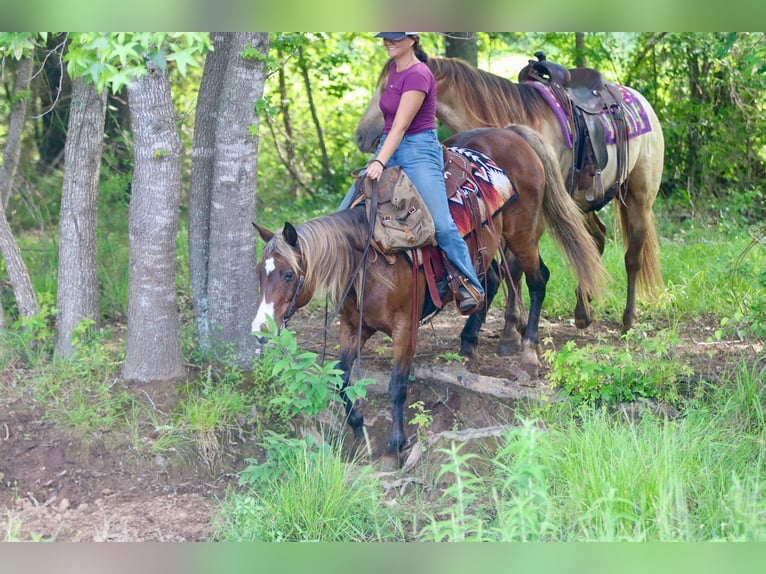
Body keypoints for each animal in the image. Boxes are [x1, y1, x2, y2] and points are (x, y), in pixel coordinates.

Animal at [252, 125, 606, 463]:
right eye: (259, 273)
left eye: (288, 274)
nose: (260, 329)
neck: (366, 260)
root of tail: (510, 133)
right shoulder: (353, 327)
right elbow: (341, 379)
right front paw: (358, 430)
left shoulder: (403, 327)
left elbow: (397, 385)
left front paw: (395, 445)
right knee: (490, 281)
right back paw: (469, 340)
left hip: (523, 234)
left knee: (537, 280)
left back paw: (528, 354)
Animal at [356, 55, 665, 334]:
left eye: (391, 89)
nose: (361, 135)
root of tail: (642, 102)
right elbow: (508, 268)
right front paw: (515, 323)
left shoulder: (531, 215)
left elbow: (515, 267)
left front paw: (511, 327)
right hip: (579, 204)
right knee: (596, 239)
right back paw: (583, 310)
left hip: (638, 199)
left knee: (633, 256)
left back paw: (628, 318)